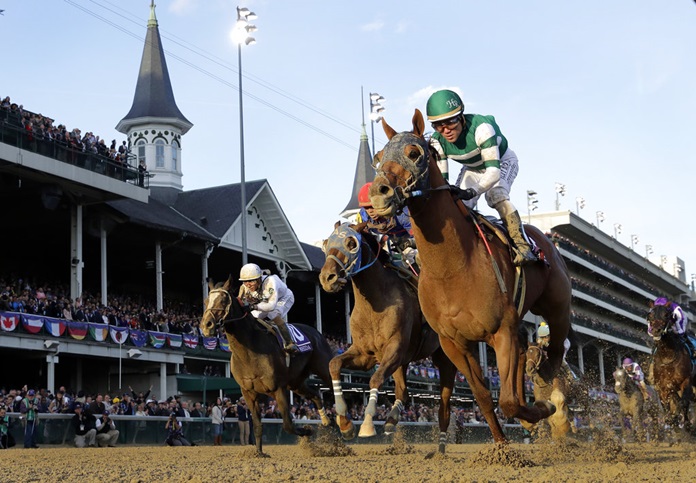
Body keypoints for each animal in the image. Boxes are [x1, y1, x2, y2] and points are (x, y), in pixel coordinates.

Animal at [200, 277, 333, 457]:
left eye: (223, 300)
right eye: (206, 301)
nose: (206, 325)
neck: (250, 349)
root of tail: (317, 333)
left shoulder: (279, 388)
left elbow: (288, 425)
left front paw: (307, 431)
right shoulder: (248, 393)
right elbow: (256, 425)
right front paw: (259, 453)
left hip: (325, 370)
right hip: (296, 382)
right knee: (316, 395)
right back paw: (326, 421)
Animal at [319, 221, 457, 453]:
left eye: (351, 243)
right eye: (327, 243)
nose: (327, 278)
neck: (375, 302)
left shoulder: (394, 349)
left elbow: (375, 378)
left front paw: (366, 425)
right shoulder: (364, 354)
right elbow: (333, 364)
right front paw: (344, 423)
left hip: (444, 359)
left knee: (444, 405)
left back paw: (440, 449)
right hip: (403, 362)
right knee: (403, 391)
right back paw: (391, 421)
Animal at [368, 109, 573, 443]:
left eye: (414, 153)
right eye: (378, 157)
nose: (377, 196)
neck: (452, 268)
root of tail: (545, 240)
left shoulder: (500, 331)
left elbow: (508, 401)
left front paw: (540, 411)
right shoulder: (454, 343)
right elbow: (485, 396)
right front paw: (502, 444)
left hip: (557, 308)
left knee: (554, 350)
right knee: (522, 354)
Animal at [647, 300, 696, 433]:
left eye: (666, 315)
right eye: (650, 315)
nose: (656, 331)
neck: (667, 356)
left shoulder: (686, 381)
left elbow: (683, 403)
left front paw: (681, 421)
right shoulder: (662, 387)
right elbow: (667, 406)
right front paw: (672, 420)